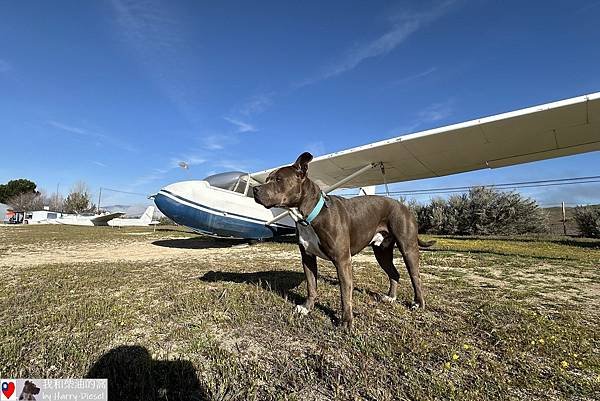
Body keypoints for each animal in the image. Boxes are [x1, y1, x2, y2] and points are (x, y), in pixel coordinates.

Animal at [251, 152, 434, 326]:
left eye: (278, 179)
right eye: (267, 179)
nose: (255, 189)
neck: (311, 215)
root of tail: (404, 206)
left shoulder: (342, 261)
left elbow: (345, 293)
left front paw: (346, 321)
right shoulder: (307, 258)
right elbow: (311, 285)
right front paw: (307, 308)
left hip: (408, 248)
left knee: (415, 277)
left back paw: (418, 303)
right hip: (382, 253)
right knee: (394, 273)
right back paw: (391, 297)